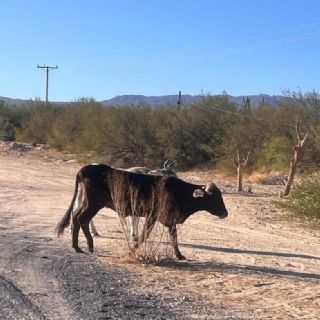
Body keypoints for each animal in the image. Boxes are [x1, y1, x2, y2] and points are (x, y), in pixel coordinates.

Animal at [56, 164, 229, 258]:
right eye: (214, 198)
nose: (225, 213)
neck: (179, 191)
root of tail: (86, 168)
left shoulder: (170, 220)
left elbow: (174, 238)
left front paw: (179, 255)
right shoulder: (152, 217)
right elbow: (144, 235)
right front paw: (132, 250)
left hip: (86, 202)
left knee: (76, 218)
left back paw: (76, 247)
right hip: (94, 204)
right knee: (82, 219)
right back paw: (89, 246)